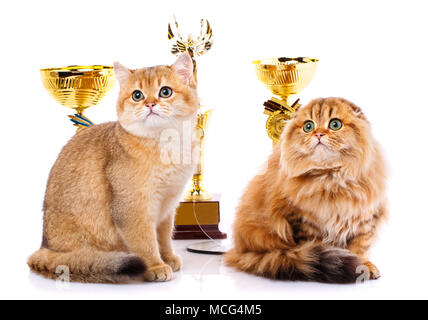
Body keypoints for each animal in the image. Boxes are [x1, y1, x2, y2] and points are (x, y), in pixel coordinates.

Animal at [28, 52, 199, 282]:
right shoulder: (132, 207)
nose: (150, 104)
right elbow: (144, 241)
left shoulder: (167, 205)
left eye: (165, 92)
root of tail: (44, 247)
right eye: (137, 95)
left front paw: (168, 257)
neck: (165, 145)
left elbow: (163, 236)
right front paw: (155, 265)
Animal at [226, 97, 386, 282]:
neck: (330, 180)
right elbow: (312, 246)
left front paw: (364, 266)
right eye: (308, 126)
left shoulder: (365, 219)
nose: (318, 134)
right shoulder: (303, 222)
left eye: (335, 124)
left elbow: (360, 249)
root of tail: (238, 251)